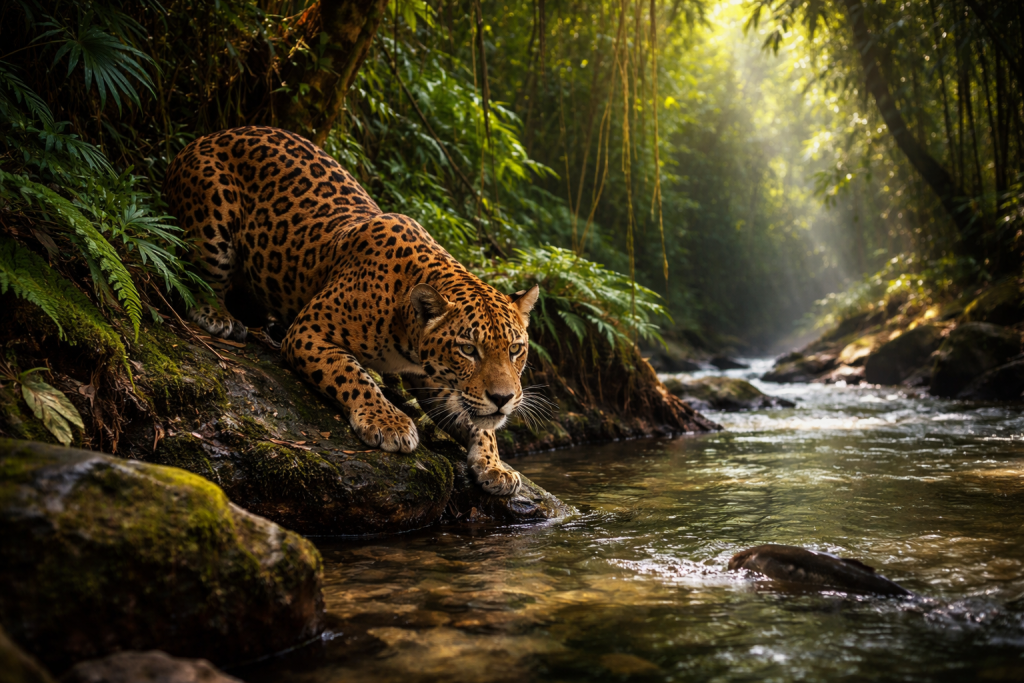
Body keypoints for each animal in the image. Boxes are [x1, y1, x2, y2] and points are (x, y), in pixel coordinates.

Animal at [163, 126, 539, 496]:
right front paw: (389, 422)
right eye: (468, 350)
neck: (406, 325)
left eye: (515, 349)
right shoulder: (308, 331)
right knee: (193, 275)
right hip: (212, 222)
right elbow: (352, 374)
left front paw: (495, 465)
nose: (503, 398)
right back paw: (218, 316)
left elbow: (478, 422)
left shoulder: (435, 379)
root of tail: (209, 136)